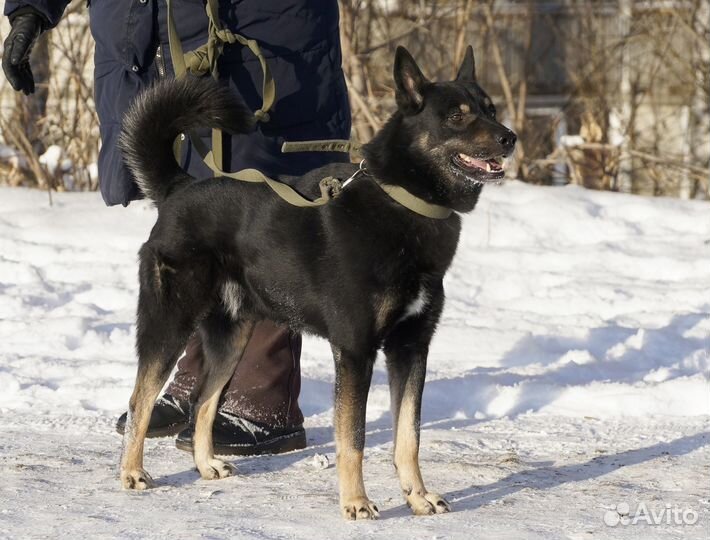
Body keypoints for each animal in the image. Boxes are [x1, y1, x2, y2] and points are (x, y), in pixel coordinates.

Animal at [117, 45, 516, 520]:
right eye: (457, 116)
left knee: (202, 400)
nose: (510, 137)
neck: (403, 201)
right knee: (140, 398)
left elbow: (409, 436)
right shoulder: (356, 351)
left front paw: (418, 496)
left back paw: (206, 465)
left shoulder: (411, 347)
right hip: (170, 322)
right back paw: (132, 472)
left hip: (232, 337)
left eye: (490, 110)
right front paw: (356, 502)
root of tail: (178, 189)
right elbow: (354, 439)